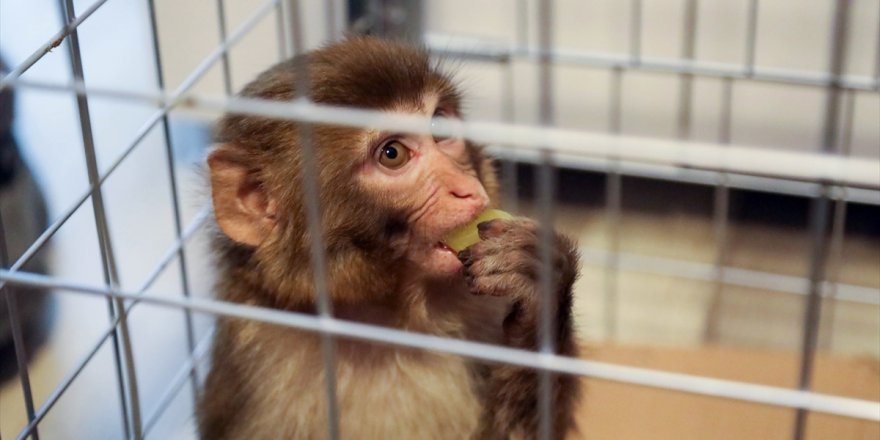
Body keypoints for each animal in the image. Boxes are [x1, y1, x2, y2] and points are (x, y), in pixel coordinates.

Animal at [200, 37, 580, 440]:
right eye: (392, 153)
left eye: (439, 122)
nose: (466, 189)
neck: (393, 319)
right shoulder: (254, 351)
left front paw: (540, 285)